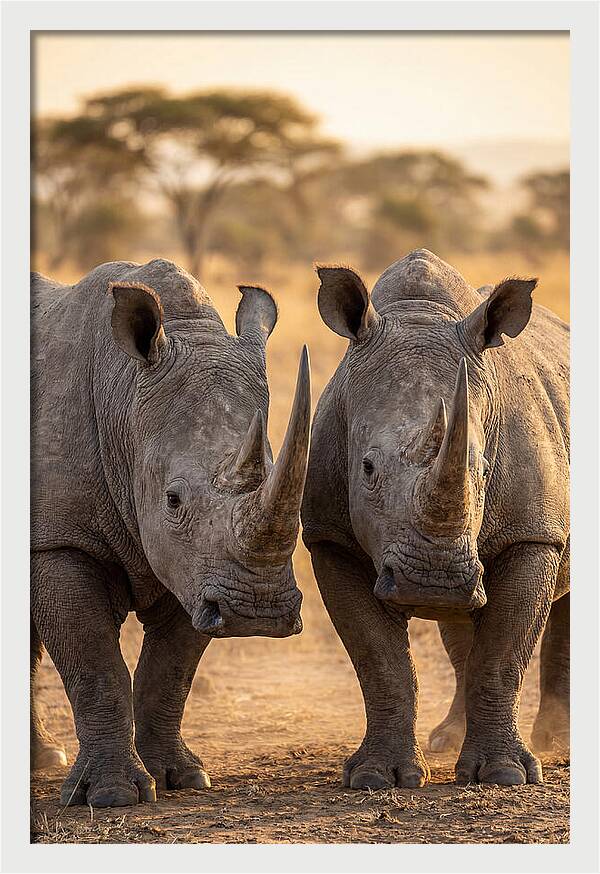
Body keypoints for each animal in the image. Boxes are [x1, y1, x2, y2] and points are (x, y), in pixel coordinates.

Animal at [31, 258, 310, 807]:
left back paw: (43, 758)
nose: (257, 612)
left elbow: (170, 670)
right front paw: (111, 796)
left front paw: (180, 777)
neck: (123, 396)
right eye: (173, 500)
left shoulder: (198, 568)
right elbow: (94, 664)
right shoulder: (58, 538)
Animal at [302, 249, 569, 788]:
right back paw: (448, 738)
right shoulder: (329, 537)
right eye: (367, 468)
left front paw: (506, 775)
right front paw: (377, 777)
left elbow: (503, 655)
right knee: (462, 625)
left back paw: (558, 741)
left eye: (482, 469)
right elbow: (379, 662)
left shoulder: (534, 534)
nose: (434, 581)